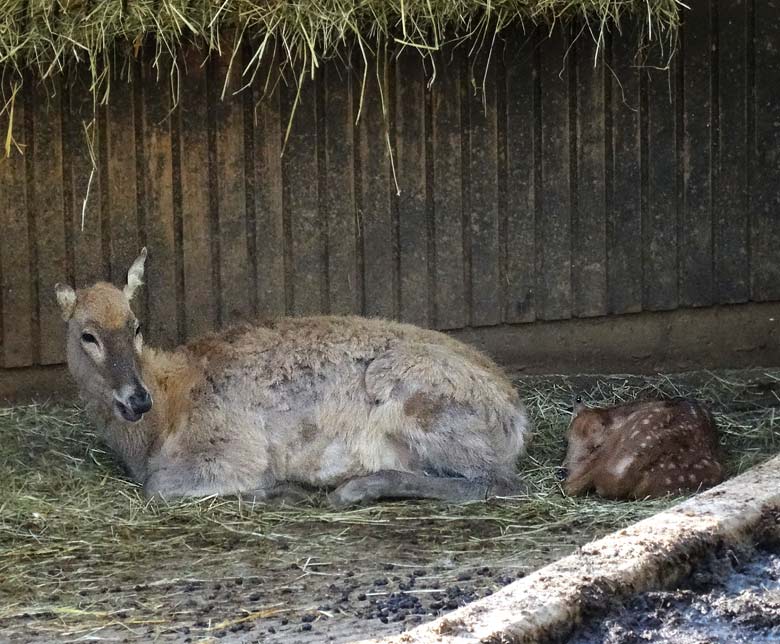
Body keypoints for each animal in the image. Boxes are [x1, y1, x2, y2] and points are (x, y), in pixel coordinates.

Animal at [54, 249, 532, 506]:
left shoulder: (227, 447)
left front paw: (283, 489)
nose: (136, 399)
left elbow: (158, 487)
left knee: (499, 481)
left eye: (136, 326)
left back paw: (356, 488)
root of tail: (517, 418)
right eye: (87, 335)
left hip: (422, 402)